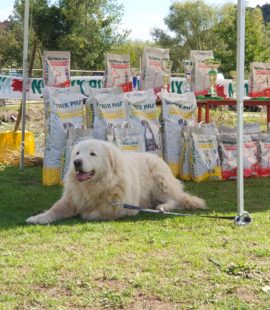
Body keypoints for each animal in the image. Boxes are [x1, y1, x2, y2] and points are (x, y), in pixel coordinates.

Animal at [26, 139, 206, 224]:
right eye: (77, 153)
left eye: (92, 154)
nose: (77, 162)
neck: (94, 186)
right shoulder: (72, 199)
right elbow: (54, 209)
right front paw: (38, 218)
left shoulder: (121, 207)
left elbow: (97, 213)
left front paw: (85, 213)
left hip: (161, 183)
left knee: (175, 199)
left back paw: (163, 207)